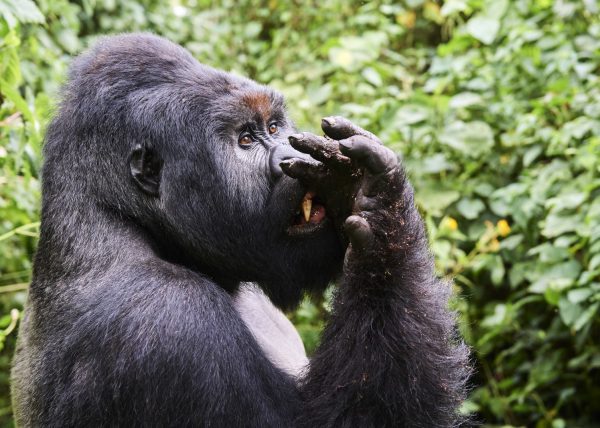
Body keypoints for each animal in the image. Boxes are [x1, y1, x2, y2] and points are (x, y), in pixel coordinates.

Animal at [10, 34, 468, 428]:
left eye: (274, 128)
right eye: (246, 140)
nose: (287, 154)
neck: (116, 213)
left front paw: (358, 191)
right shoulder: (167, 314)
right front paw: (384, 217)